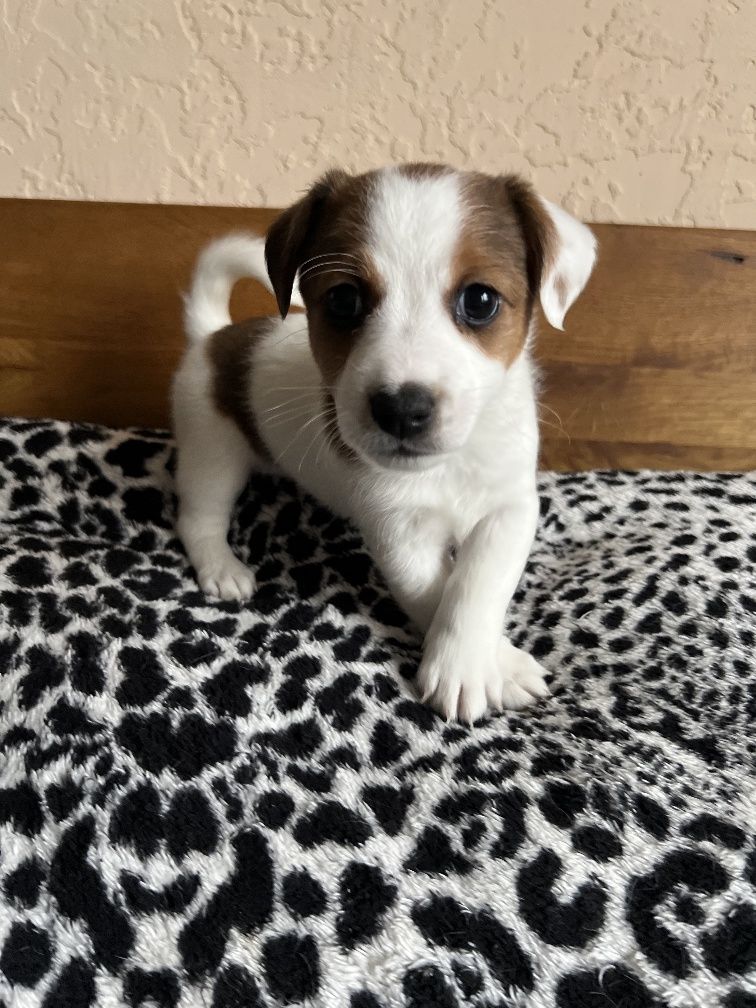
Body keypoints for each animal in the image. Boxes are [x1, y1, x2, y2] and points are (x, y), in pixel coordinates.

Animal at [172, 164, 597, 722]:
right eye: (343, 300)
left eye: (480, 301)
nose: (402, 409)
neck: (446, 467)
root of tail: (213, 337)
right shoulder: (397, 529)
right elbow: (432, 593)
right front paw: (484, 667)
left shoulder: (510, 508)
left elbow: (476, 585)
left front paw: (480, 659)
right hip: (211, 452)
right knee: (198, 519)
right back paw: (222, 567)